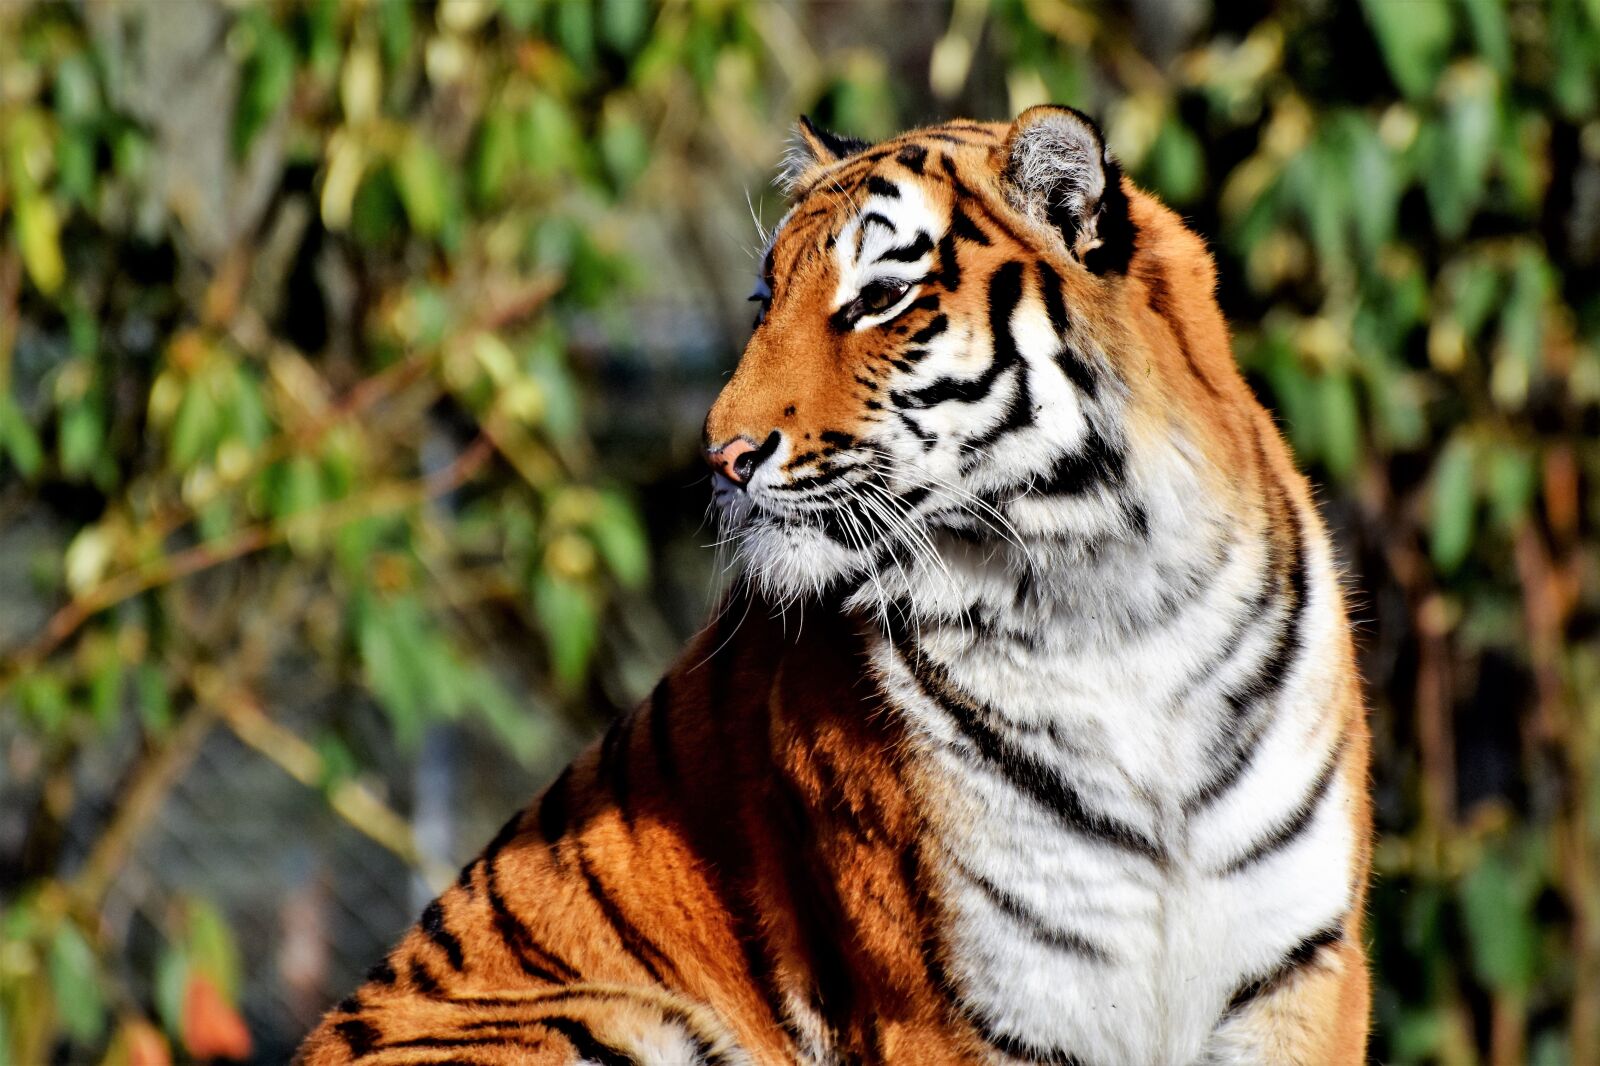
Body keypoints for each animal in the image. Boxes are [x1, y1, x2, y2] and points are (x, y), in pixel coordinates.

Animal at [297, 105, 1372, 1066]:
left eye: (880, 296)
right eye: (762, 299)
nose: (720, 454)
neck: (1105, 604)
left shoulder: (1307, 968)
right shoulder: (949, 1006)